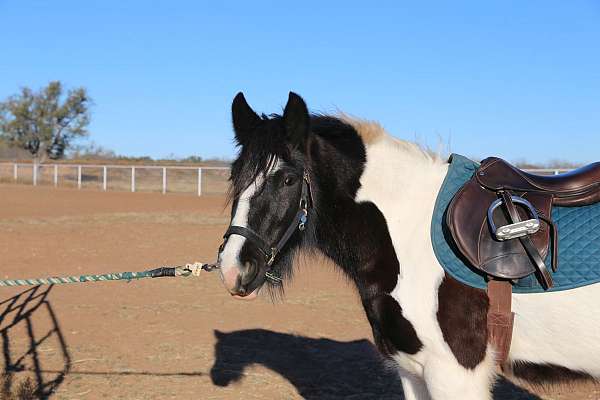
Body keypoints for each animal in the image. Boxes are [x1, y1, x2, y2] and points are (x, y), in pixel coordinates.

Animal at [218, 92, 596, 398]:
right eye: (235, 175)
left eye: (288, 179)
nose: (234, 268)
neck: (410, 234)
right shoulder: (413, 371)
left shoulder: (454, 374)